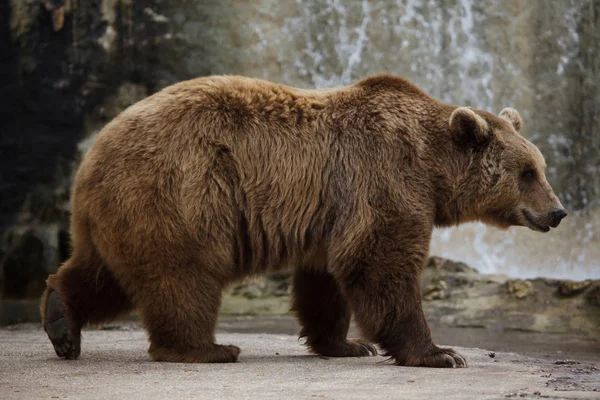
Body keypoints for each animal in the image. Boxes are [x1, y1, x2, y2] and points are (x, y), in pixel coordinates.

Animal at [39, 73, 564, 368]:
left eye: (540, 167)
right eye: (527, 173)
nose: (557, 212)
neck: (433, 170)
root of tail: (91, 157)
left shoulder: (332, 210)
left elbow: (327, 280)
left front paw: (347, 344)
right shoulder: (385, 177)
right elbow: (380, 261)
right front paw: (441, 354)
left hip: (120, 213)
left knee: (102, 274)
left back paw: (62, 321)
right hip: (178, 193)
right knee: (182, 276)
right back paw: (206, 348)